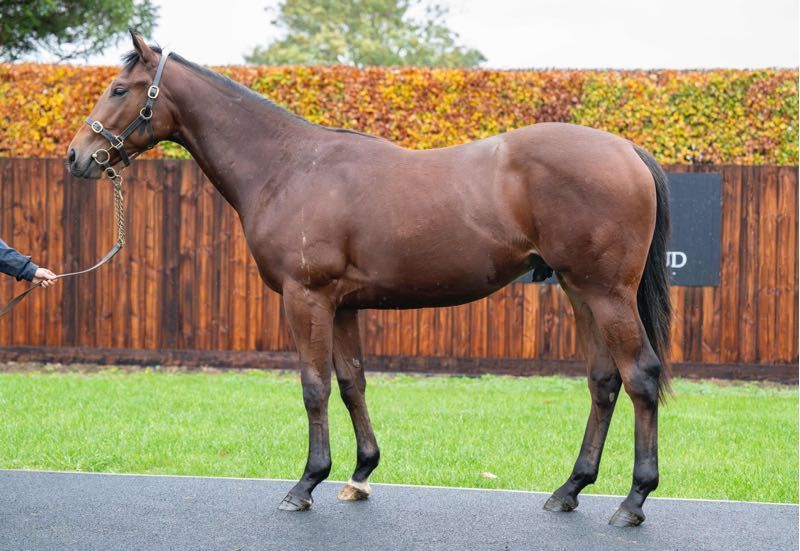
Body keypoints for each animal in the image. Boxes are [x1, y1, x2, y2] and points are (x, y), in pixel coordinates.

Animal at [67, 31, 672, 527]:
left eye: (119, 89)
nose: (77, 157)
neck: (288, 167)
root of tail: (627, 149)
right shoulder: (343, 305)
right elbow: (352, 382)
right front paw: (360, 476)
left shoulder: (306, 298)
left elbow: (314, 387)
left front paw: (306, 483)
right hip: (579, 291)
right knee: (603, 381)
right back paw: (570, 489)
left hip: (607, 293)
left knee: (639, 376)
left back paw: (633, 501)